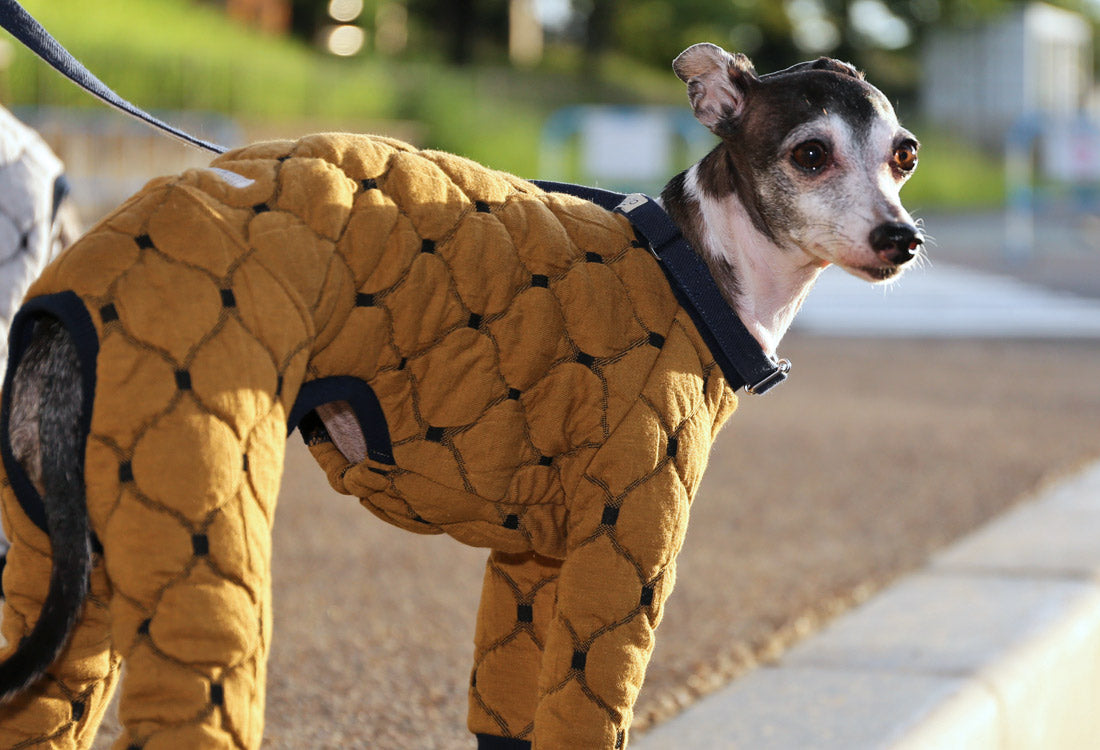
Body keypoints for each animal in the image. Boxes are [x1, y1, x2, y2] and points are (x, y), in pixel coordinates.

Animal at [0, 43, 915, 743]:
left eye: (903, 155)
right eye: (809, 154)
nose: (902, 239)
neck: (690, 267)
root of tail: (69, 301)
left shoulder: (533, 568)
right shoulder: (626, 548)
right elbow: (588, 714)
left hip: (71, 557)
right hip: (203, 510)